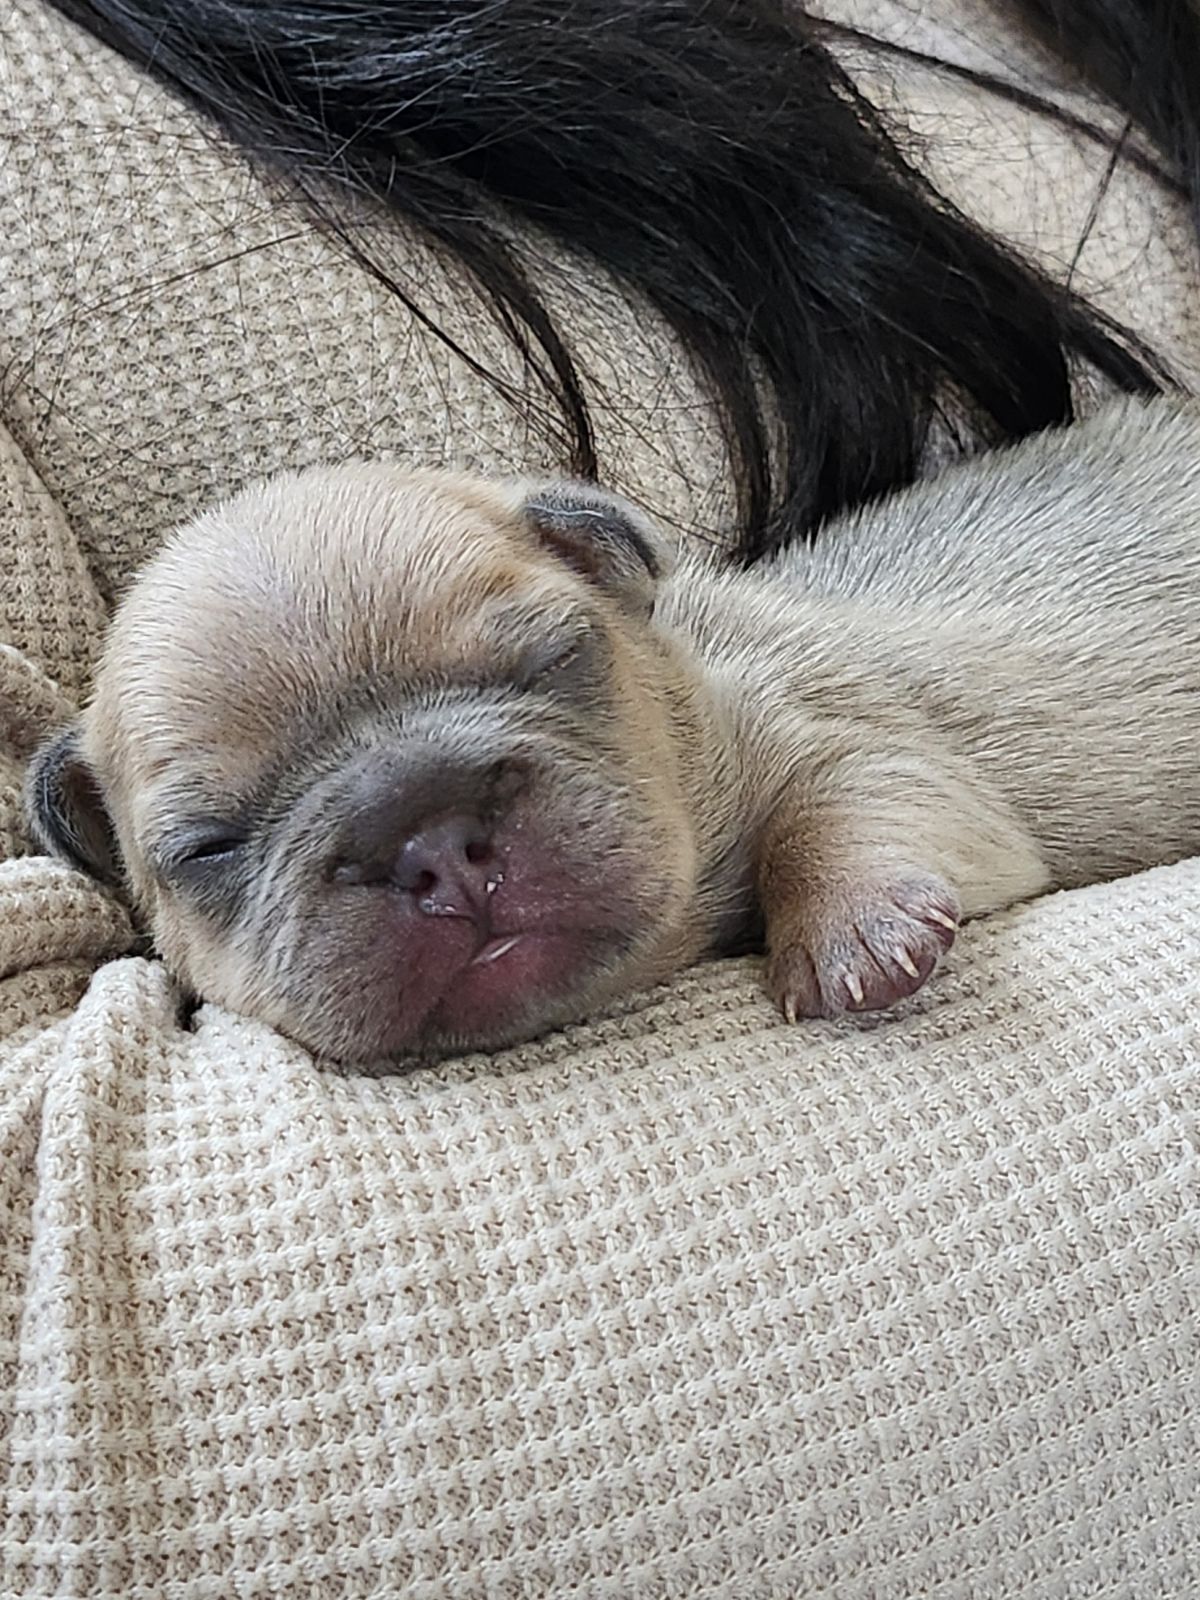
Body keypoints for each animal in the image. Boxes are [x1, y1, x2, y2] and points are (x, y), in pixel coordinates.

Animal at [21, 393, 1200, 1056]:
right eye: (209, 848)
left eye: (550, 661)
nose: (431, 841)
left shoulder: (852, 736)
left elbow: (829, 805)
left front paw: (848, 933)